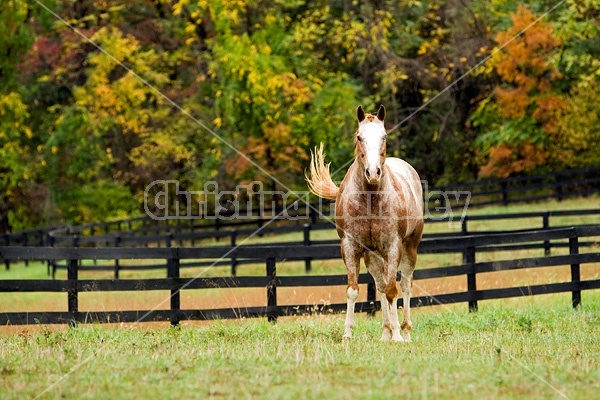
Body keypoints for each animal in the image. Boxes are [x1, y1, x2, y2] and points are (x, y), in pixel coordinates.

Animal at [308, 104, 424, 340]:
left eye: (384, 136)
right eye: (359, 137)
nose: (373, 172)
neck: (370, 199)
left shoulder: (393, 247)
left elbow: (393, 290)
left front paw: (397, 336)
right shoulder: (350, 247)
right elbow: (353, 290)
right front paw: (347, 334)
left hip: (410, 247)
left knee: (405, 284)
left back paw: (404, 332)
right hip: (373, 256)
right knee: (380, 285)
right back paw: (385, 332)